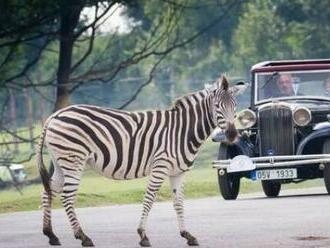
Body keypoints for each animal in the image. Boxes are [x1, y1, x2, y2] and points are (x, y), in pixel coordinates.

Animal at [36, 75, 242, 246]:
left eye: (235, 106)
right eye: (217, 107)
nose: (232, 134)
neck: (182, 131)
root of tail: (54, 115)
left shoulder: (178, 172)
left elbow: (178, 203)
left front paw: (187, 235)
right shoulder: (160, 166)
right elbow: (149, 199)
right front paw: (143, 235)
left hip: (61, 162)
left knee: (48, 191)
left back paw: (51, 235)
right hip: (74, 160)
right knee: (67, 196)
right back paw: (83, 237)